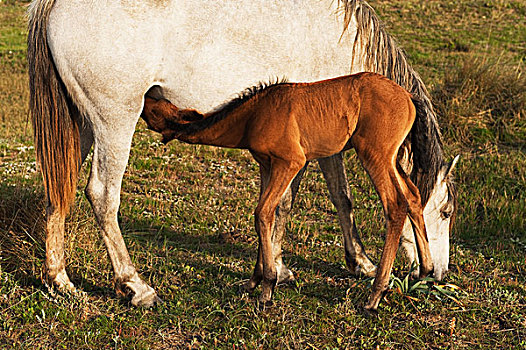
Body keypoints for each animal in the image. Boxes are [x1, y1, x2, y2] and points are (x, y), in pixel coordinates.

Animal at [141, 72, 438, 310]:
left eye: (154, 106)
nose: (146, 92)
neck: (253, 115)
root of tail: (409, 97)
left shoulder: (290, 162)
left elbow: (263, 212)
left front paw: (267, 287)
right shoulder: (267, 165)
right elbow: (268, 215)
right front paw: (254, 280)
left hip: (375, 155)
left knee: (395, 205)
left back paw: (376, 294)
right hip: (392, 159)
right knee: (413, 196)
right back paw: (425, 270)